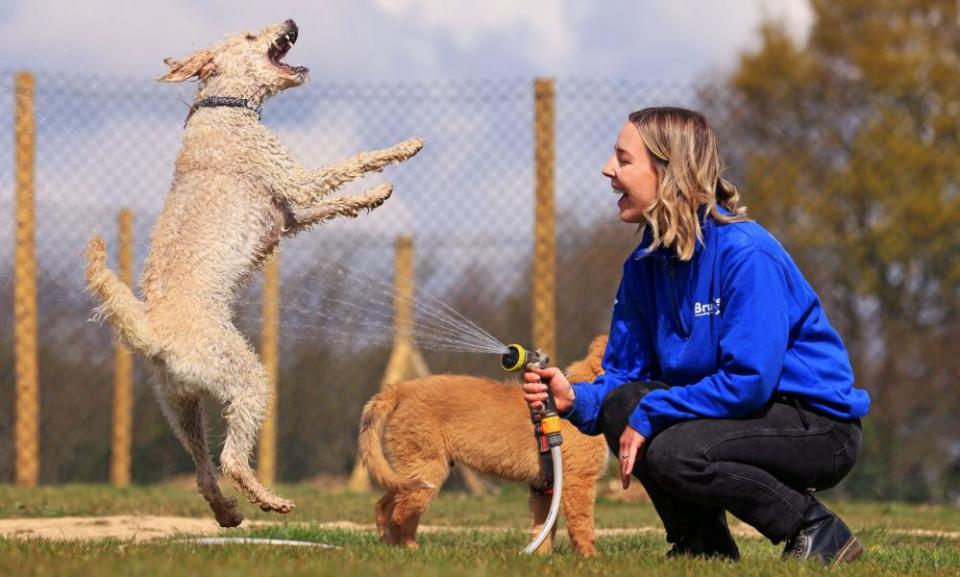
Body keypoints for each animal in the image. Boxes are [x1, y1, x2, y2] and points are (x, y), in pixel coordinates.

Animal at [84, 20, 422, 528]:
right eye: (248, 35)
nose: (291, 23)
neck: (223, 106)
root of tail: (153, 335)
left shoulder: (289, 215)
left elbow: (336, 203)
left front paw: (373, 196)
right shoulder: (294, 181)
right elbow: (350, 163)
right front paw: (402, 150)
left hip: (182, 407)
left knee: (204, 471)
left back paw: (227, 512)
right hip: (246, 380)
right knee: (231, 460)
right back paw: (270, 500)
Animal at [356, 336, 612, 556]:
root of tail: (402, 389)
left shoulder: (544, 488)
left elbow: (543, 528)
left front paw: (539, 557)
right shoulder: (579, 481)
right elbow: (582, 524)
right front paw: (590, 557)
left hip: (411, 471)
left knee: (386, 505)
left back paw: (391, 546)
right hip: (427, 468)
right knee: (400, 513)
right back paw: (408, 550)